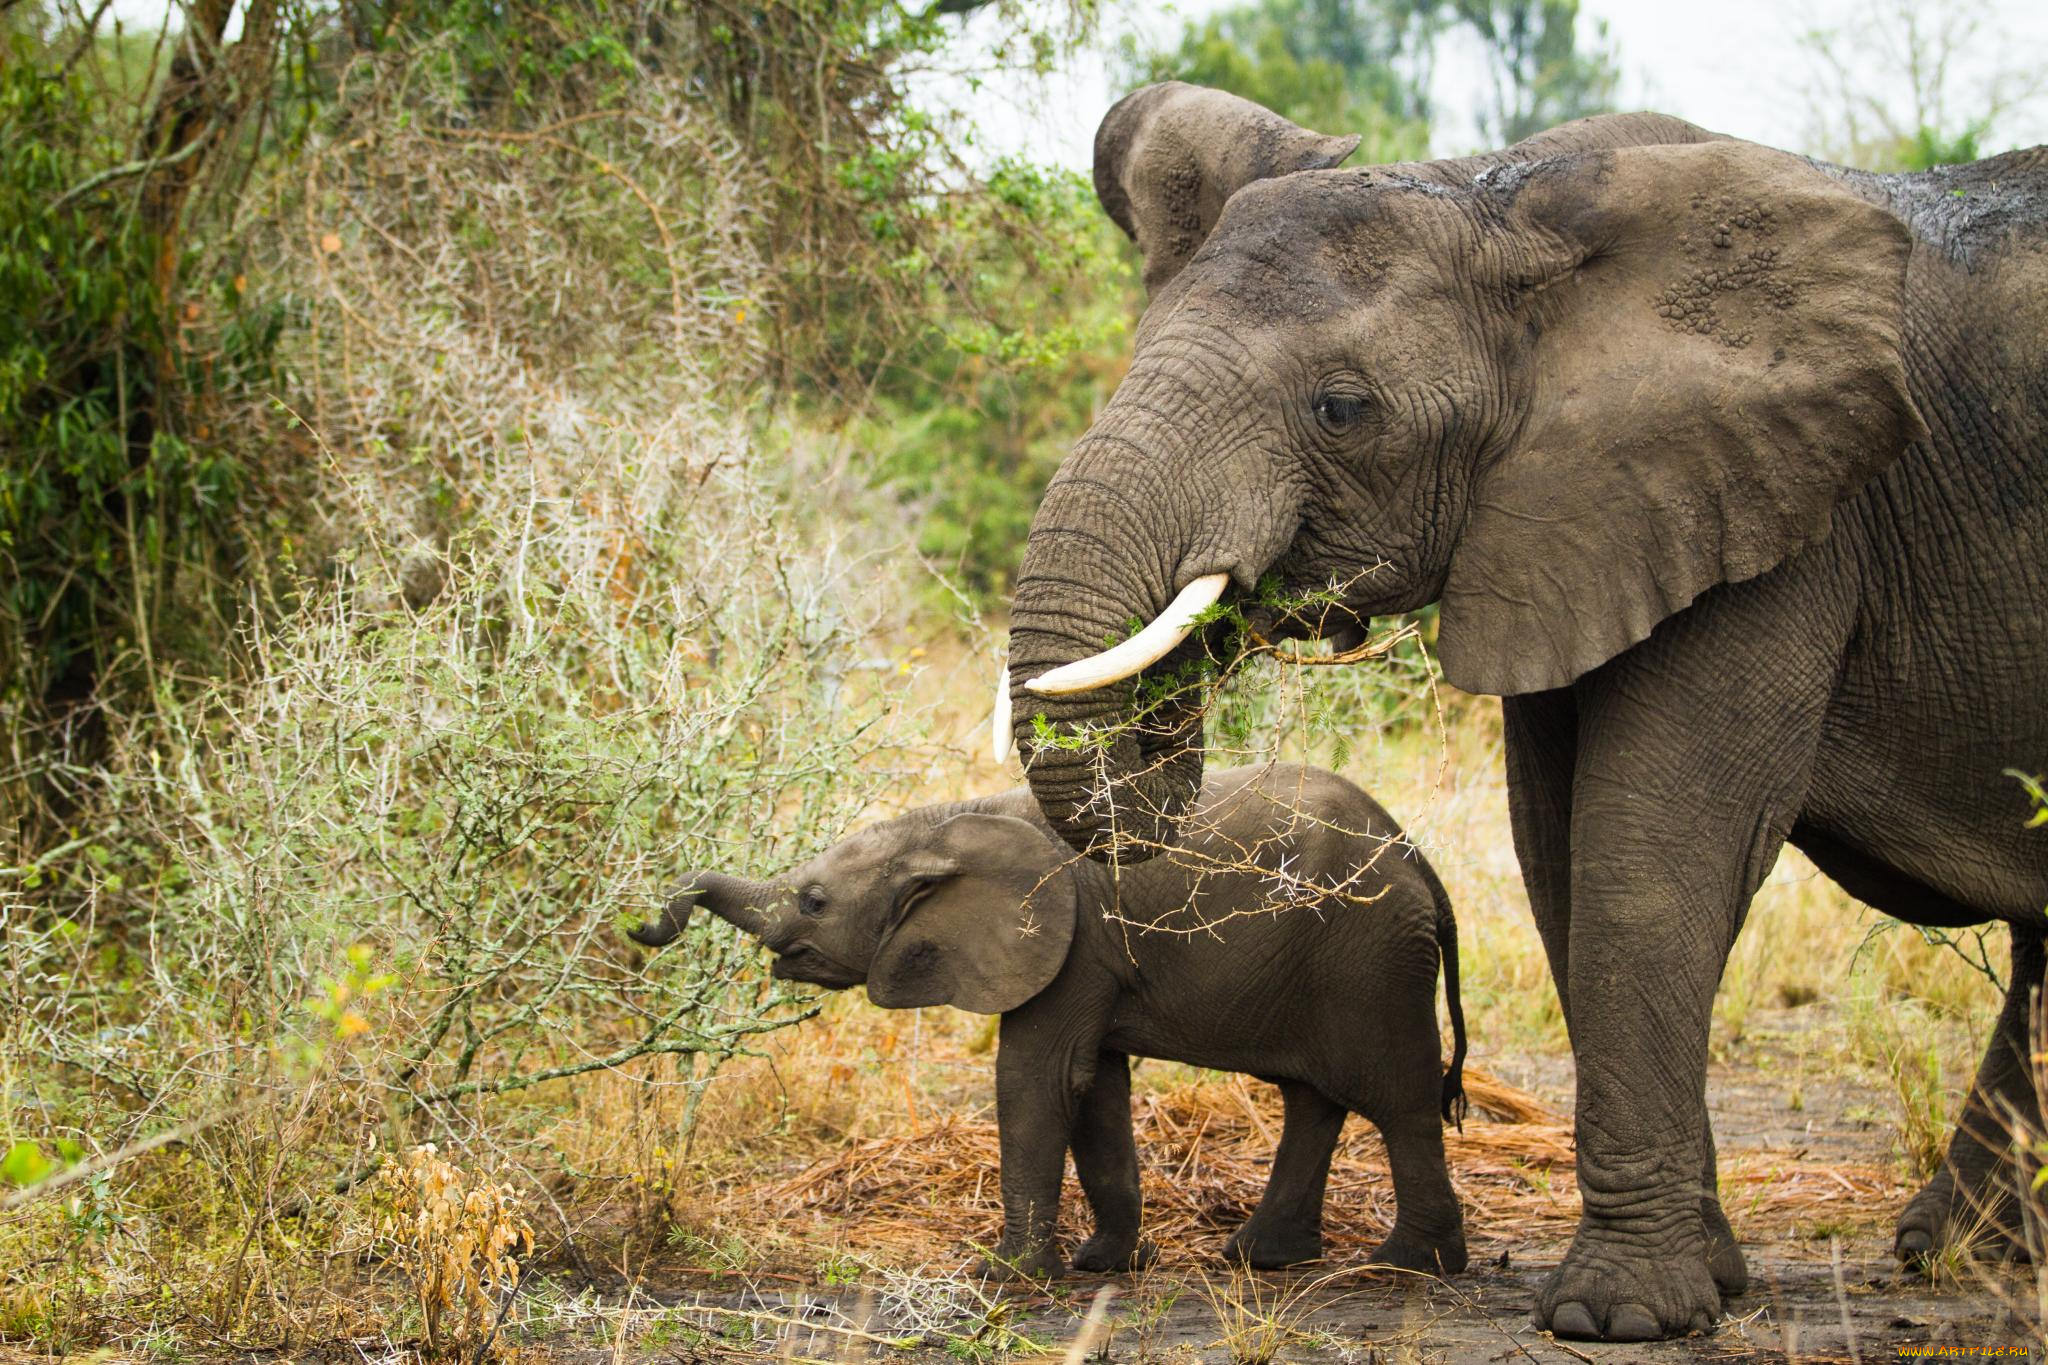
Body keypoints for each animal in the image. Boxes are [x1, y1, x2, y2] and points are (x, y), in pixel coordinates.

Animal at [630, 765, 1466, 1277]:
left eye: (812, 901)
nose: (644, 927)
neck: (942, 824)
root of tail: (1417, 858)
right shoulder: (1085, 953)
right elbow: (1093, 1087)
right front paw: (1104, 1264)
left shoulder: (1066, 939)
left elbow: (1037, 1081)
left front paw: (1003, 1274)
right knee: (1311, 1098)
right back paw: (1260, 1257)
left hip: (1372, 959)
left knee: (1401, 1099)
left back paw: (1404, 1264)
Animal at [999, 82, 2039, 1342]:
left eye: (1341, 410)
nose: (1170, 704)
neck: (1496, 197)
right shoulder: (1587, 511)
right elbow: (1558, 856)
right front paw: (1707, 1283)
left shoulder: (1785, 518)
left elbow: (1648, 856)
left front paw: (1618, 1318)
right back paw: (1959, 1253)